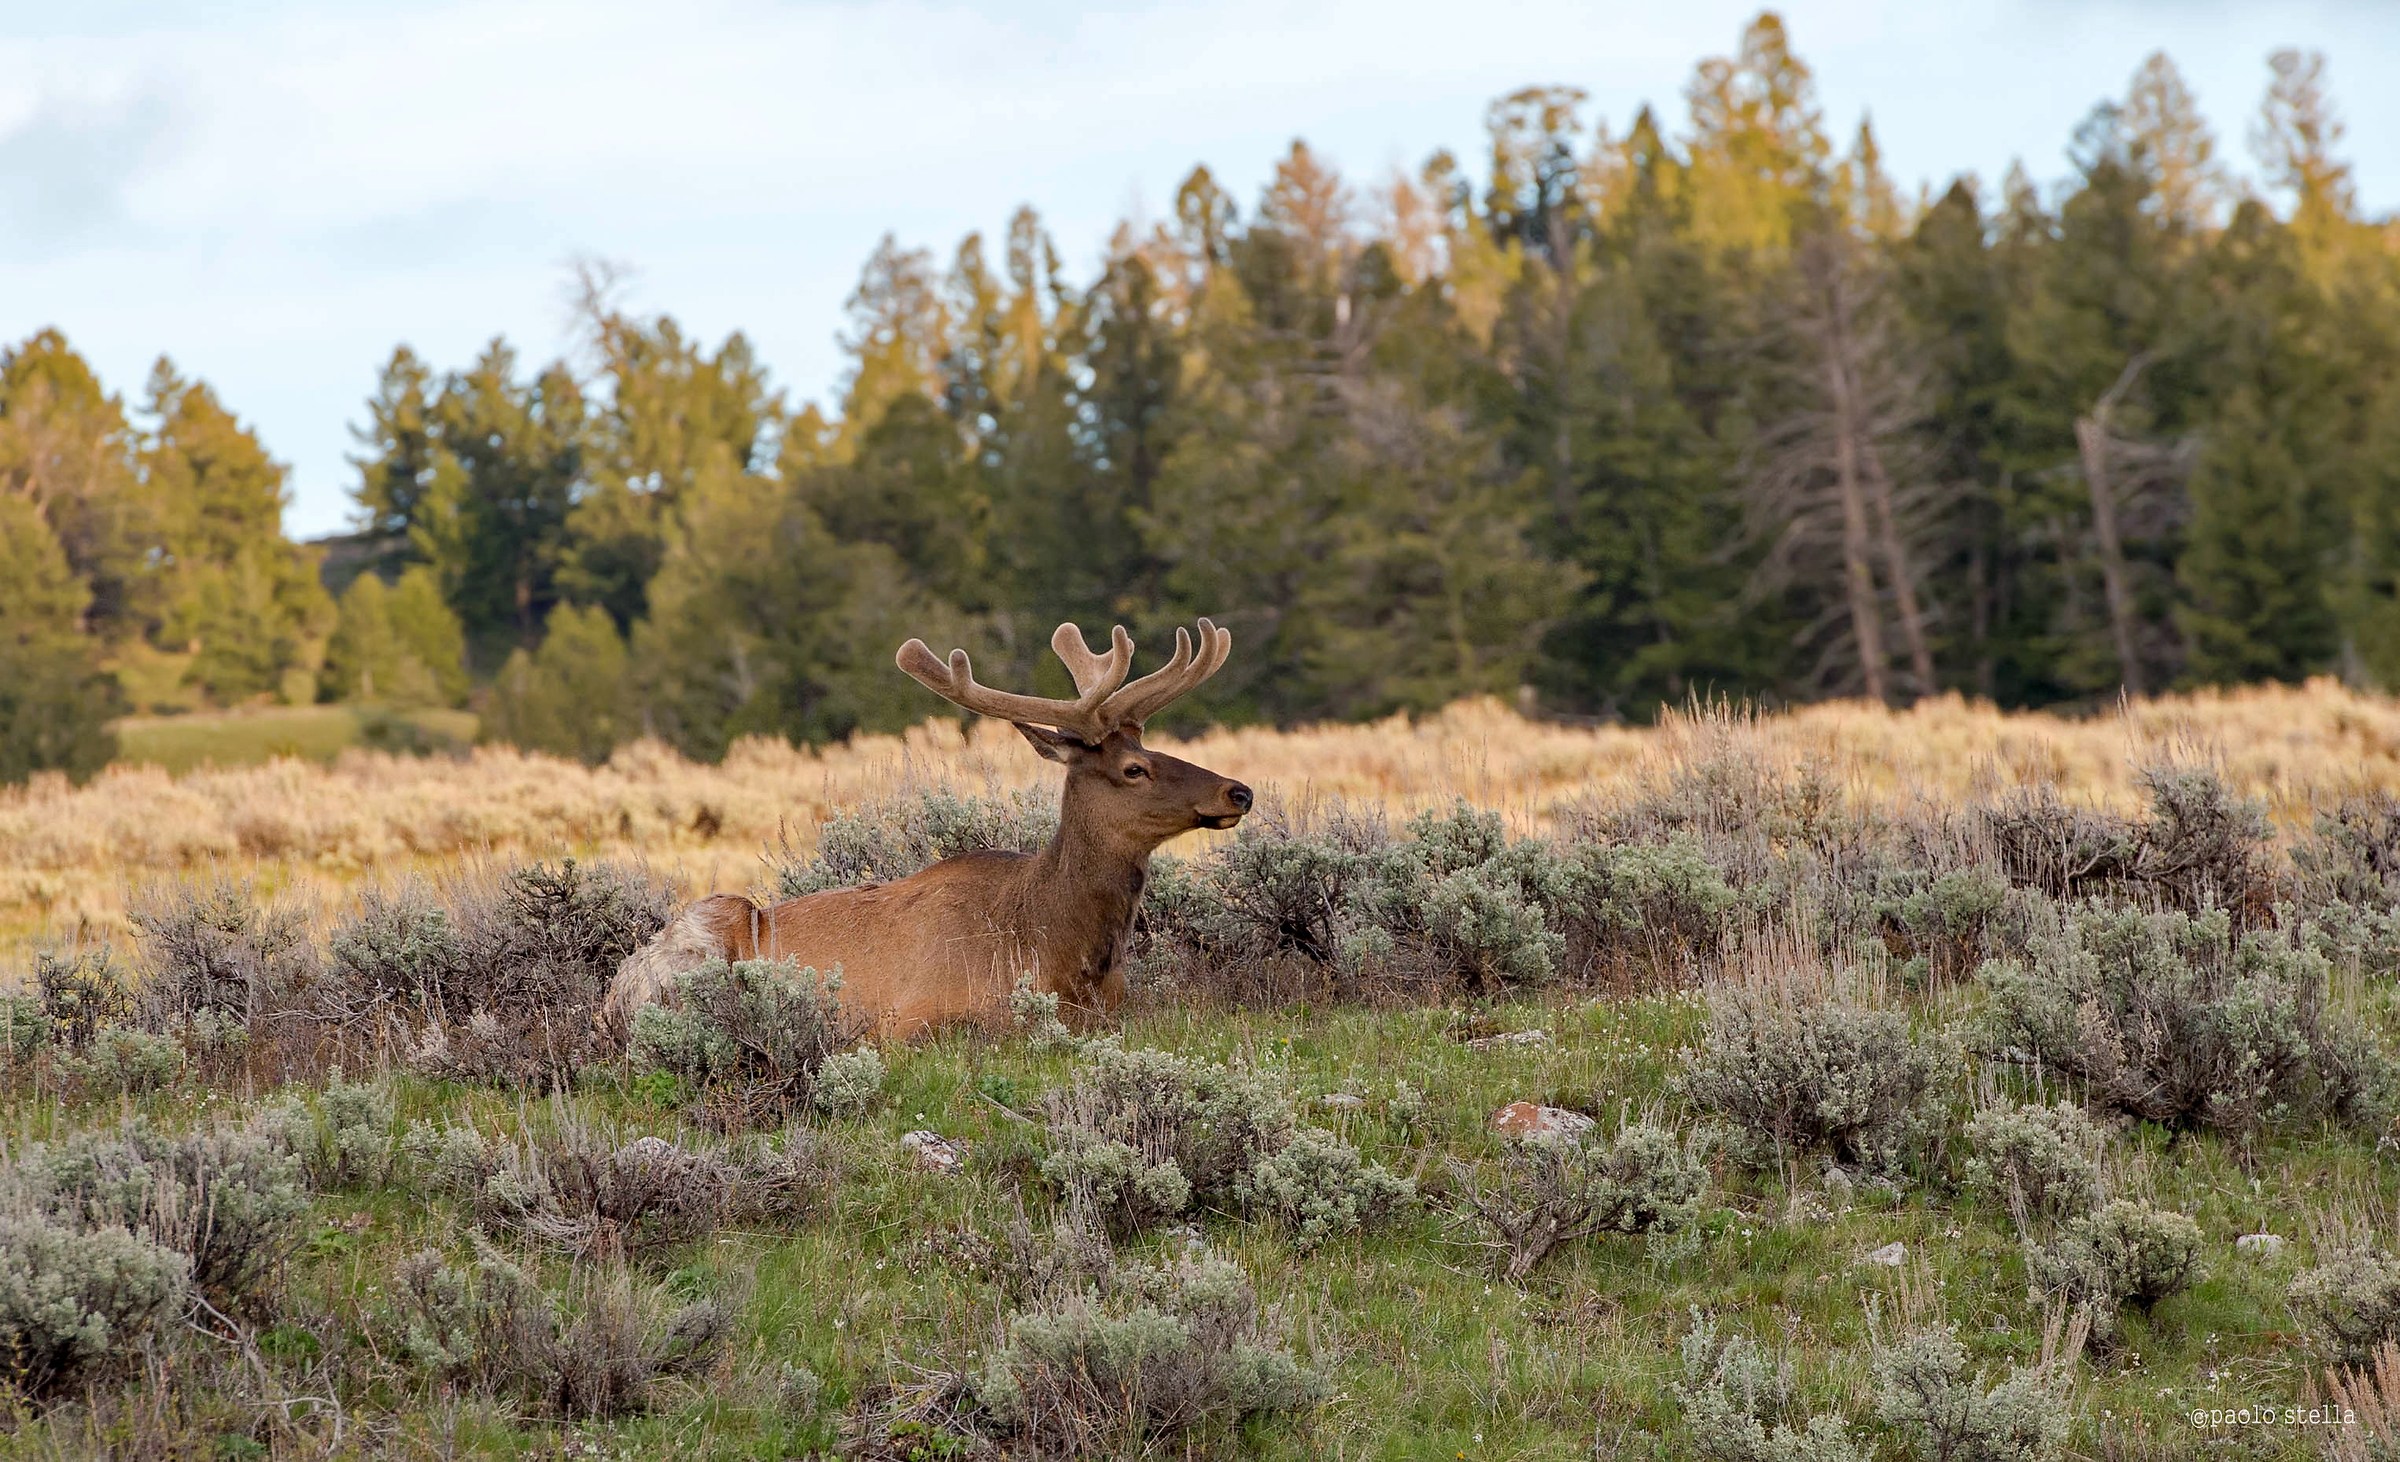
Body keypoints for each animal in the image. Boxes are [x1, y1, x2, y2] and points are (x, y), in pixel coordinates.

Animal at [599, 618, 1252, 1039]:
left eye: (1151, 747)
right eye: (1133, 768)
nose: (1238, 791)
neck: (1057, 951)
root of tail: (609, 999)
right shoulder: (909, 1015)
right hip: (711, 931)